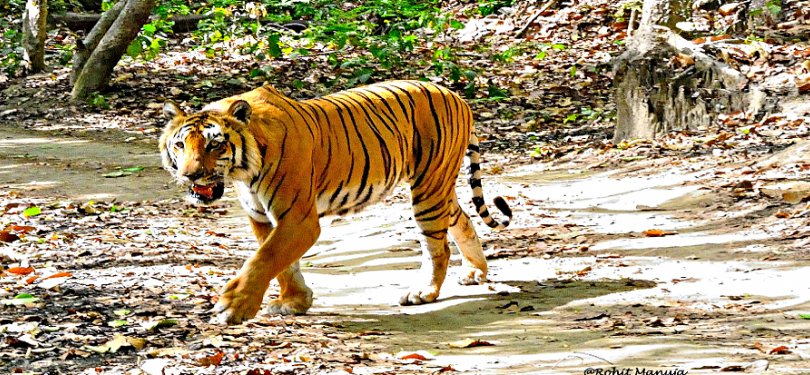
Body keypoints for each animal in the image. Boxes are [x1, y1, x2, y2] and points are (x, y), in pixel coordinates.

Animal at [159, 80, 512, 326]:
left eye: (215, 145)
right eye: (180, 145)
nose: (191, 175)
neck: (244, 171)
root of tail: (457, 96)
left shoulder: (298, 219)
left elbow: (263, 259)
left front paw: (233, 306)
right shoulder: (261, 217)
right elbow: (281, 264)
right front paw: (294, 302)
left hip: (428, 188)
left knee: (437, 247)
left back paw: (423, 292)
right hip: (437, 186)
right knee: (462, 219)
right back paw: (474, 271)